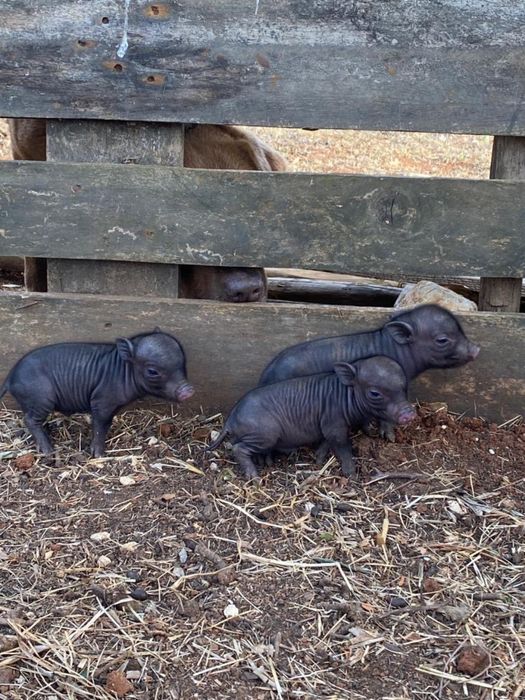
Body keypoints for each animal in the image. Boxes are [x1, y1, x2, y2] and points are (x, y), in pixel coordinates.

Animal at [0, 329, 194, 457]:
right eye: (152, 371)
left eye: (183, 362)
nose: (188, 391)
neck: (122, 370)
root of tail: (10, 376)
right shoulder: (101, 402)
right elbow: (100, 426)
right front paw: (99, 455)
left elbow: (107, 424)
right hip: (40, 398)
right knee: (30, 420)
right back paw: (49, 451)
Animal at [207, 356, 417, 480]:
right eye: (374, 393)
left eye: (404, 387)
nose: (409, 413)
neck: (344, 396)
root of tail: (230, 420)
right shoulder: (334, 424)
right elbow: (342, 447)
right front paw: (351, 475)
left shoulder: (326, 426)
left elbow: (326, 442)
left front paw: (318, 460)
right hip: (264, 434)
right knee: (238, 449)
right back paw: (255, 478)